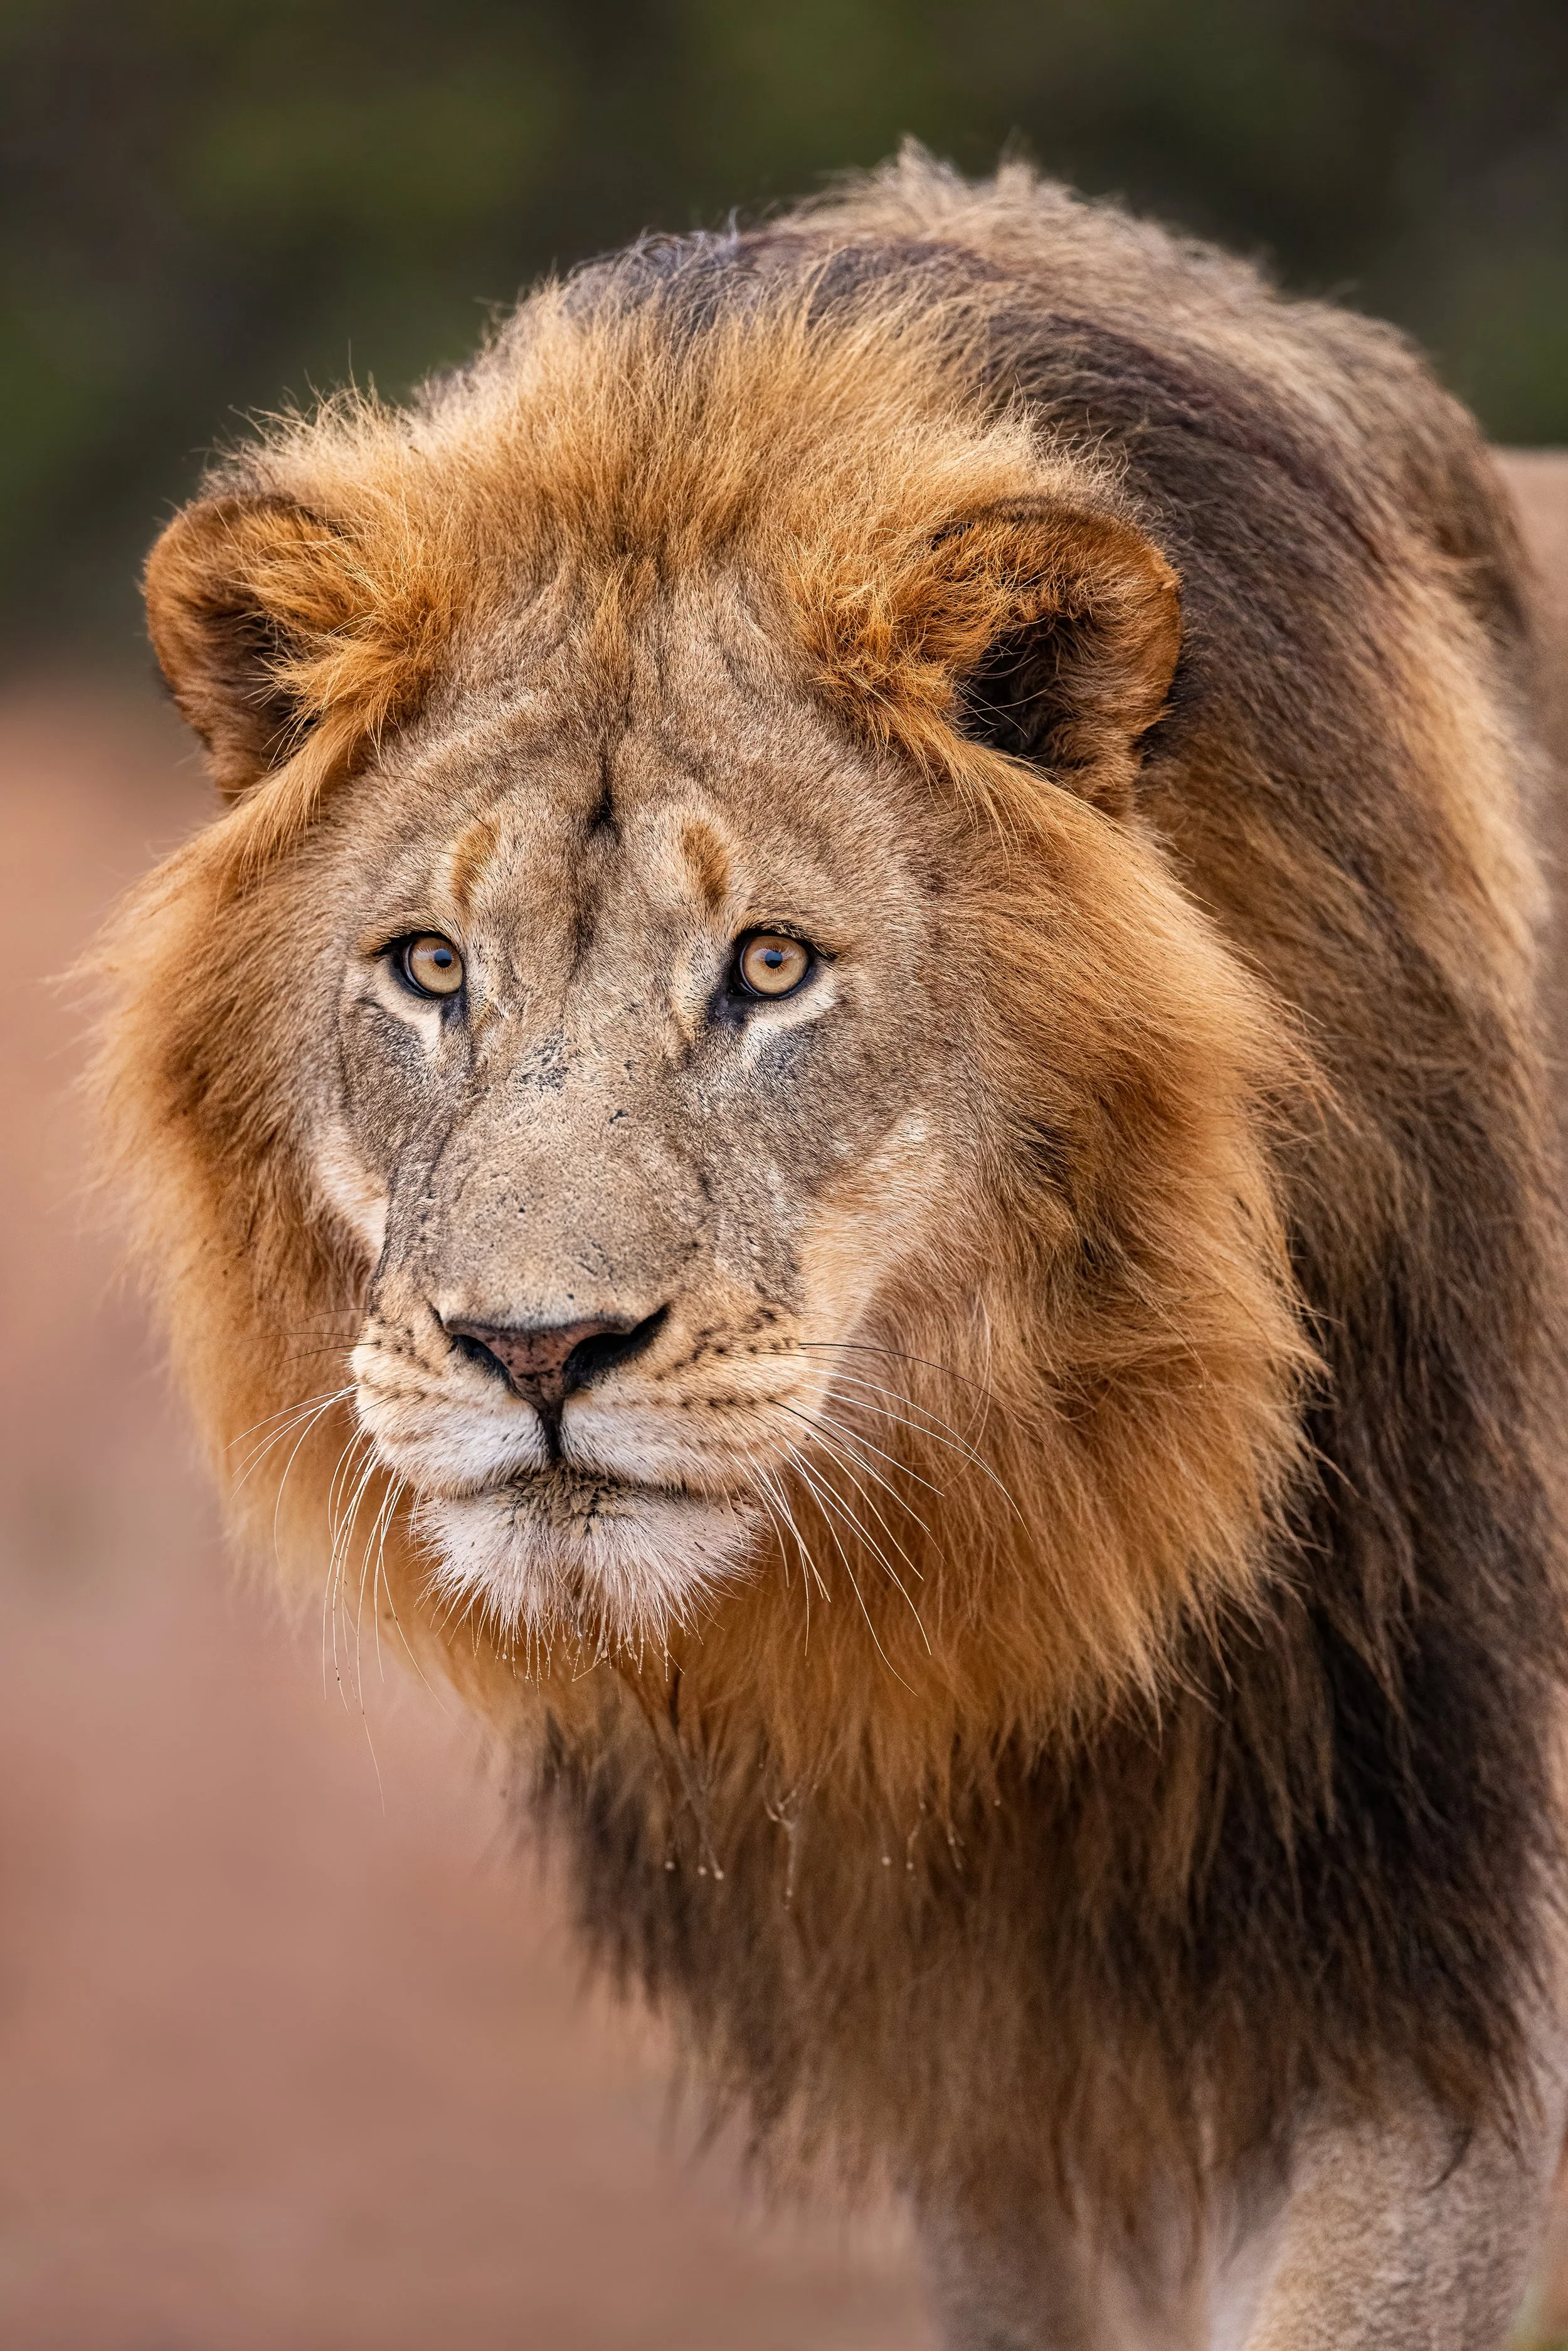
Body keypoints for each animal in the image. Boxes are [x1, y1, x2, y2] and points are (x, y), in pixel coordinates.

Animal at [94, 151, 1568, 2346]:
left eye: (770, 967)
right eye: (429, 968)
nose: (536, 1351)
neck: (1031, 1551)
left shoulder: (1435, 1976)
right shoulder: (973, 2068)